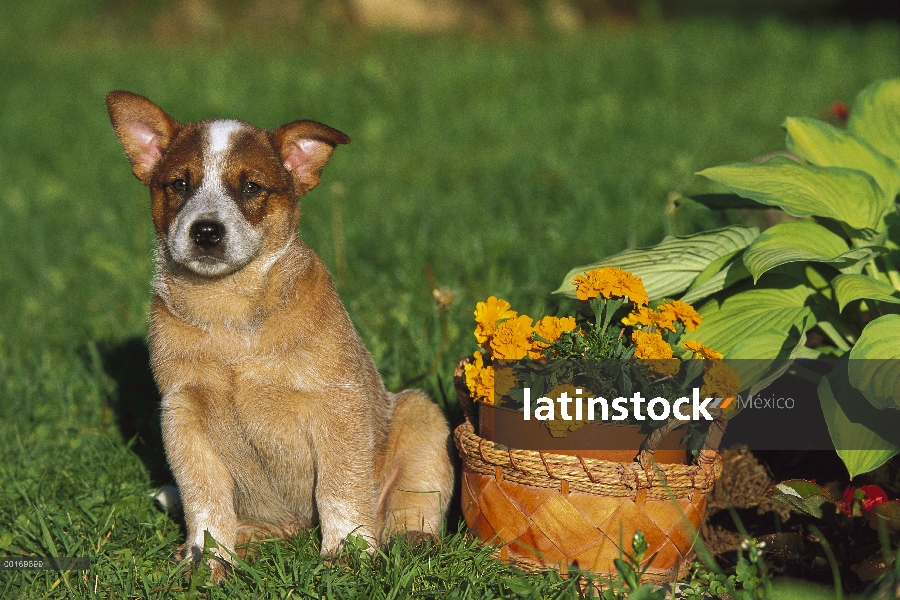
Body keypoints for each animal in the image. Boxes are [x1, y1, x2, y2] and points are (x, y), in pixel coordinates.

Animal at [106, 91, 454, 576]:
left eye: (251, 187)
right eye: (179, 184)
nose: (206, 231)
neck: (229, 314)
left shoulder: (336, 402)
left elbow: (341, 487)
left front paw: (347, 552)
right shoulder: (182, 414)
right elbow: (203, 496)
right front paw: (206, 559)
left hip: (421, 416)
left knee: (410, 505)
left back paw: (411, 540)